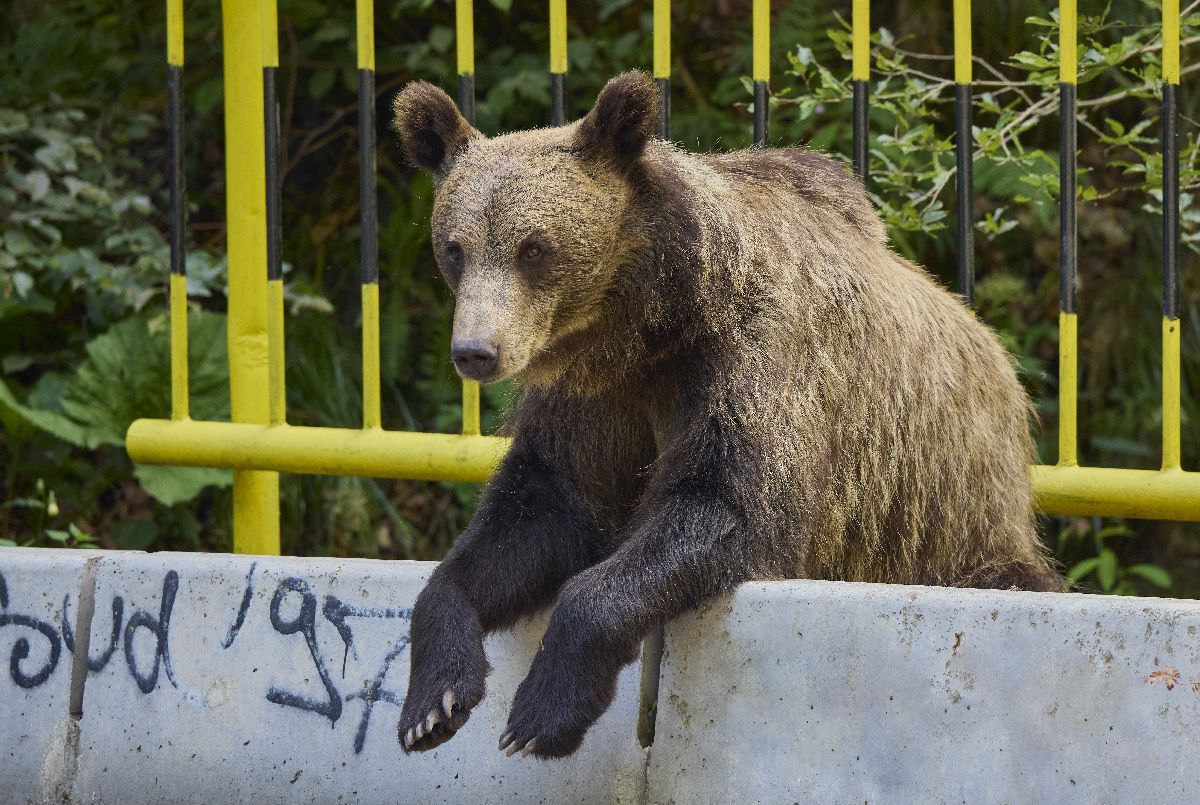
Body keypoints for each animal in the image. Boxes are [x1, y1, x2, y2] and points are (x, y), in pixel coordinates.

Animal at [391, 69, 1060, 763]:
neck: (650, 321)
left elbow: (727, 504)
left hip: (945, 519)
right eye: (455, 248)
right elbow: (542, 510)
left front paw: (540, 713)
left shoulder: (753, 361)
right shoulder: (595, 400)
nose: (476, 351)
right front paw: (433, 701)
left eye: (534, 248)